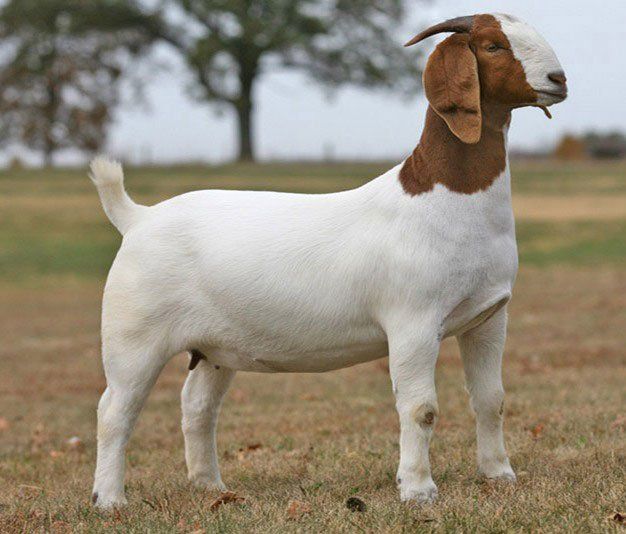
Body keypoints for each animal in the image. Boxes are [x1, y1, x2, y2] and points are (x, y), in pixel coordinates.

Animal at [89, 13, 564, 510]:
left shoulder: (488, 317)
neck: (447, 196)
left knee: (197, 407)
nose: (558, 79)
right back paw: (110, 500)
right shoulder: (413, 322)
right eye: (492, 46)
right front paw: (417, 490)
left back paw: (211, 487)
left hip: (214, 347)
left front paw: (499, 475)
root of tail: (138, 218)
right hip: (134, 336)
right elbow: (421, 408)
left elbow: (491, 399)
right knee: (115, 411)